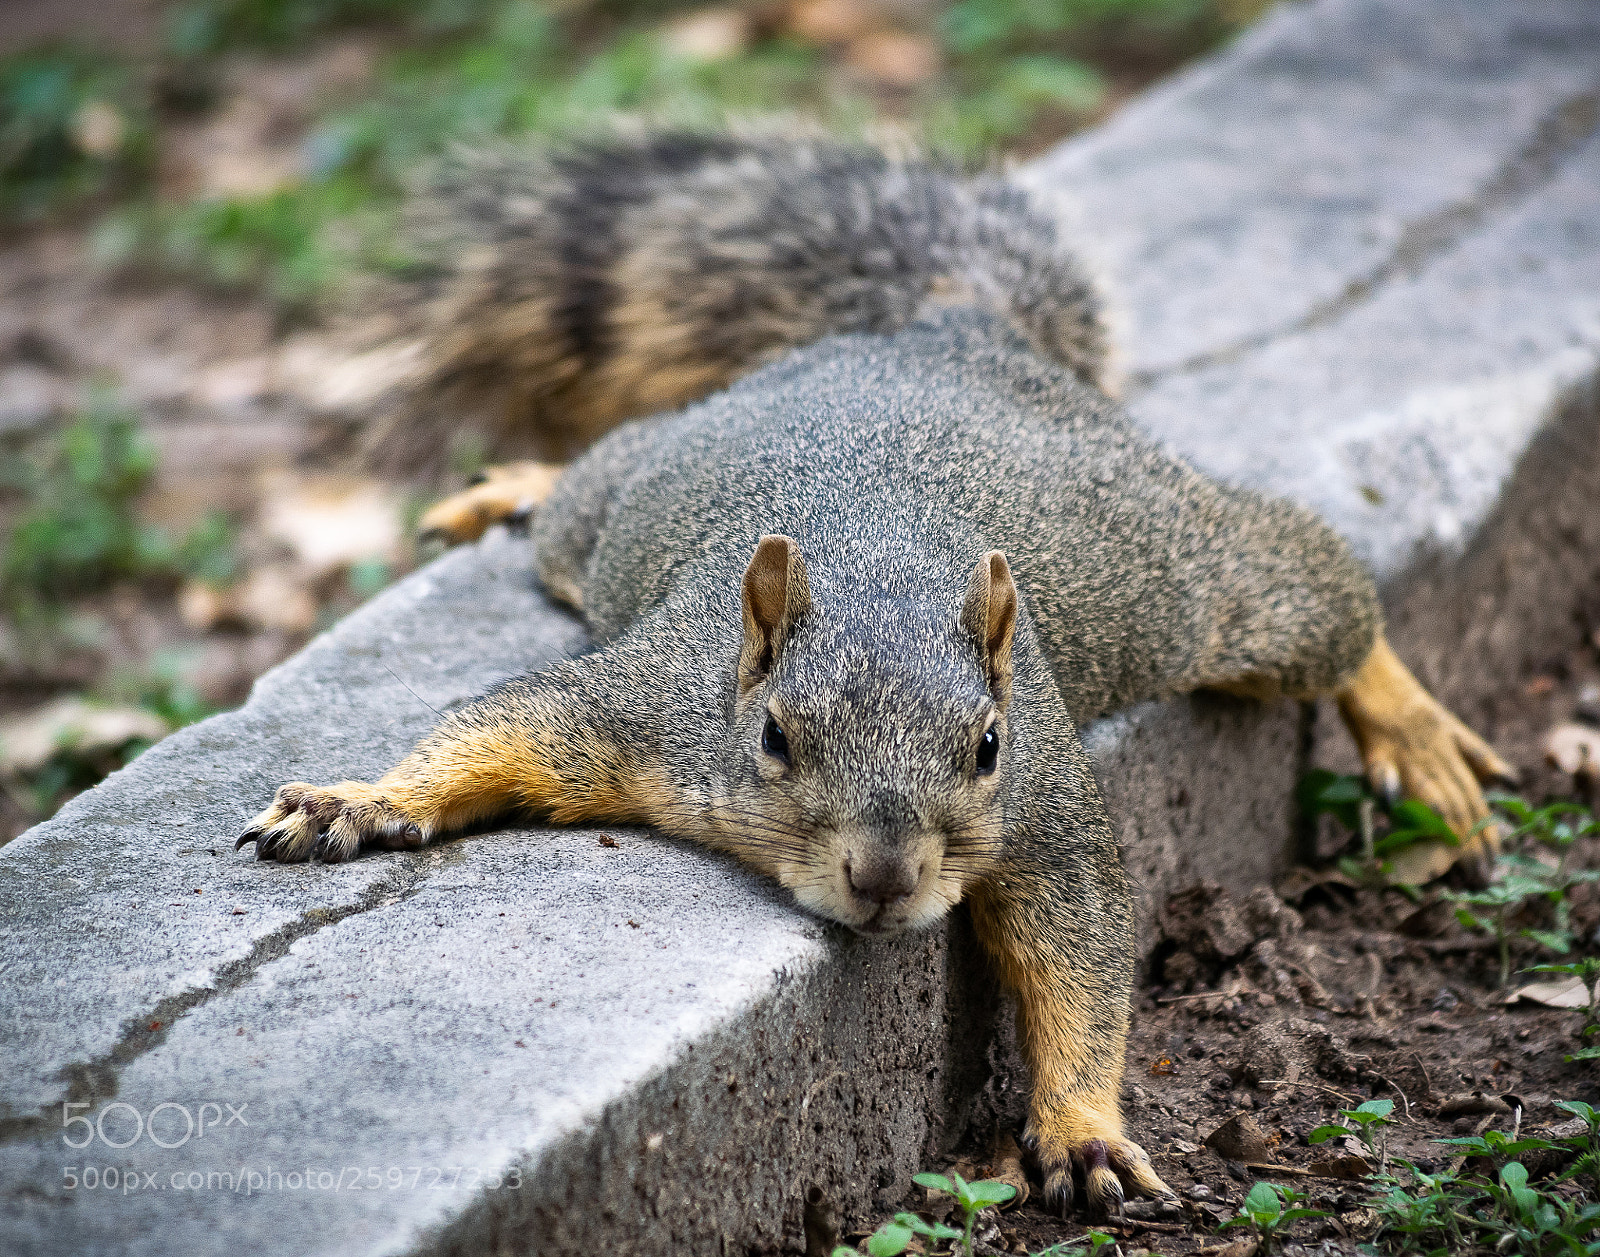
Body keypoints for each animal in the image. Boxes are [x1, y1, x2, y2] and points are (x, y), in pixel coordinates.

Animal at [240, 134, 1511, 1217]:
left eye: (987, 745)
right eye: (773, 739)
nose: (887, 877)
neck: (874, 573)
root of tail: (944, 333)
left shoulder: (1043, 804)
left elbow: (1083, 945)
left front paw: (1085, 1128)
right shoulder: (641, 708)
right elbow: (506, 724)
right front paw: (361, 800)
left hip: (1195, 583)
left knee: (1323, 593)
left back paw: (1412, 731)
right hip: (624, 504)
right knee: (584, 485)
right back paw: (514, 485)